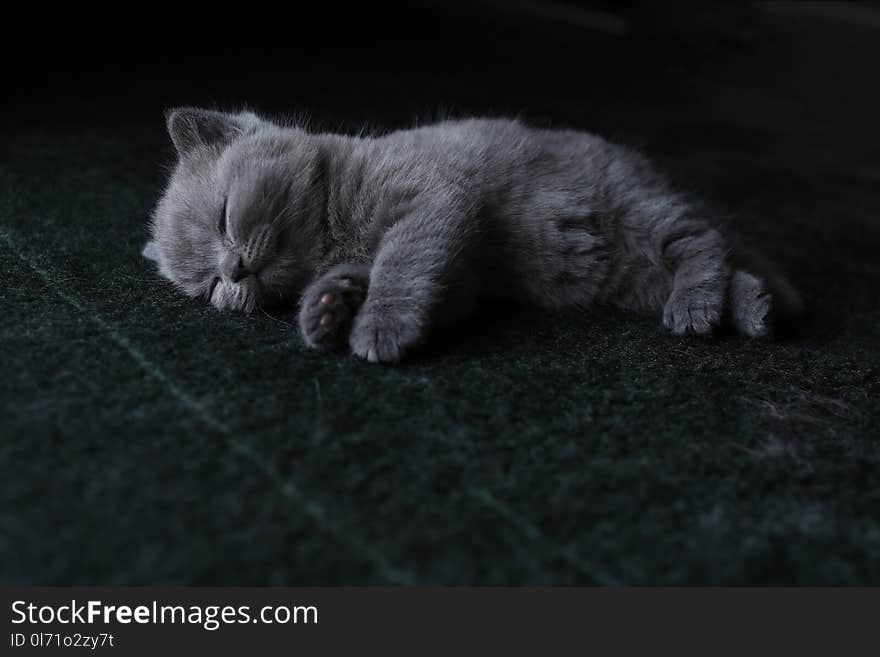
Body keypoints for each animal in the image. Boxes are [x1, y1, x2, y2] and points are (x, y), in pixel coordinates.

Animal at [144, 109, 804, 364]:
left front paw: (379, 326)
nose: (232, 271)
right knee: (716, 263)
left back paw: (698, 307)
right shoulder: (457, 280)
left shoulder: (434, 201)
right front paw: (327, 308)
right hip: (625, 277)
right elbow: (419, 285)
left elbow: (405, 262)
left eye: (224, 218)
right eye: (208, 287)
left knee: (701, 243)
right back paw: (754, 308)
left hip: (638, 212)